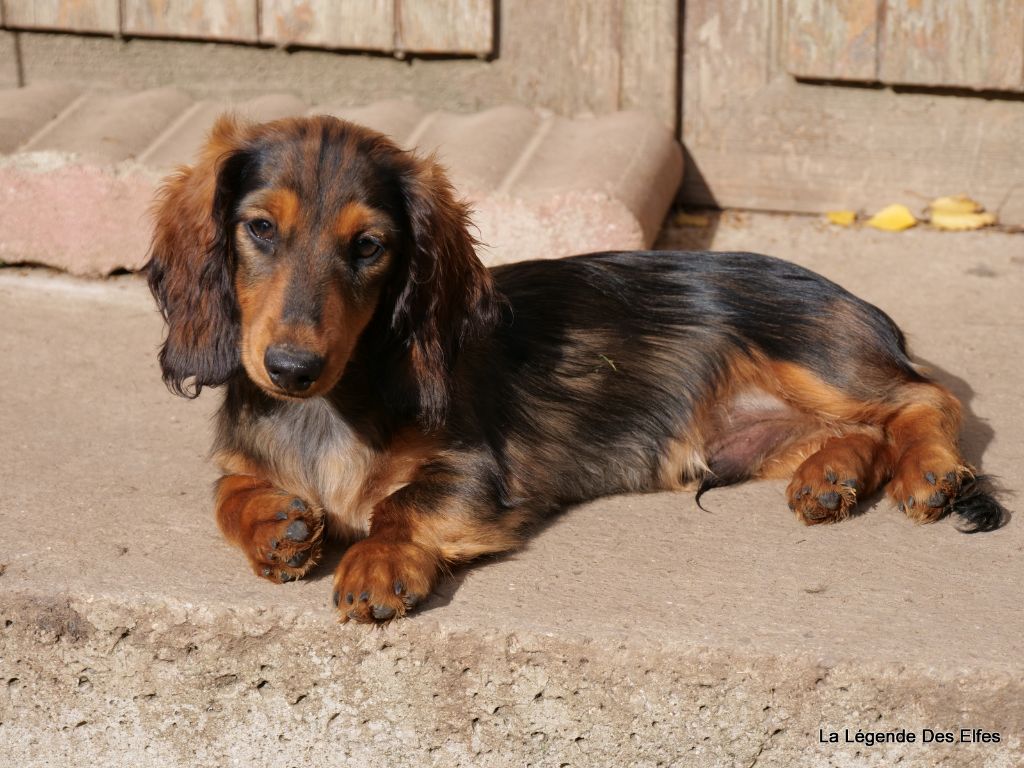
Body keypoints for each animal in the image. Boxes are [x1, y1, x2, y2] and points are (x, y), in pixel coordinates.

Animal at [146, 114, 1007, 626]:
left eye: (369, 246)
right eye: (260, 228)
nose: (291, 366)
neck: (329, 406)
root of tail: (864, 306)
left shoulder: (475, 469)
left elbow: (400, 505)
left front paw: (378, 564)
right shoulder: (245, 454)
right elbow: (227, 490)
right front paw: (277, 525)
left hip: (808, 354)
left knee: (923, 399)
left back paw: (928, 472)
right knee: (862, 429)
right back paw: (831, 477)